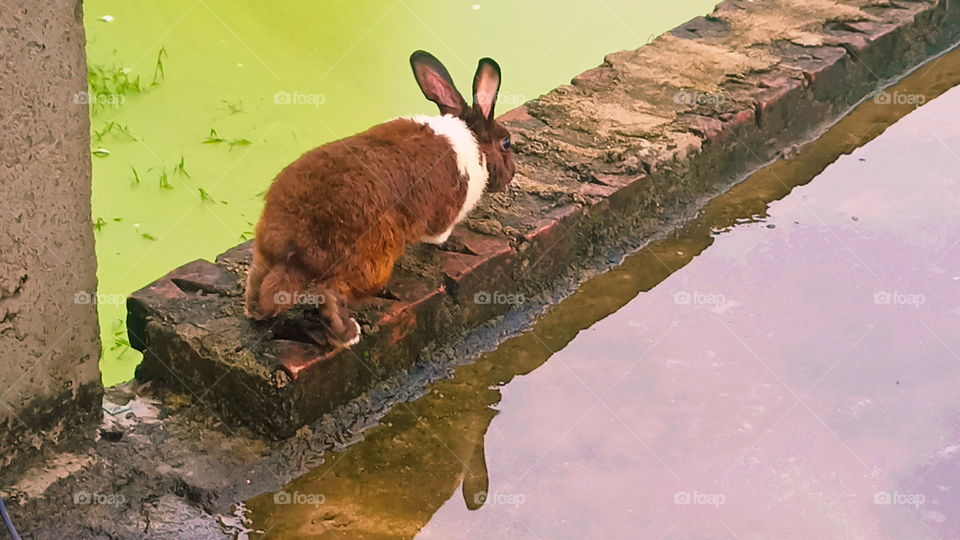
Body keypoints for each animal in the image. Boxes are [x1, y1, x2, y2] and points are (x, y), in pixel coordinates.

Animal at [244, 50, 517, 348]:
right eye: (506, 143)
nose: (513, 172)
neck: (473, 141)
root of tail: (297, 241)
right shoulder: (445, 215)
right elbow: (438, 234)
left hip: (266, 250)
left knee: (259, 282)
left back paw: (257, 312)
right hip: (370, 262)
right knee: (332, 294)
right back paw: (349, 336)